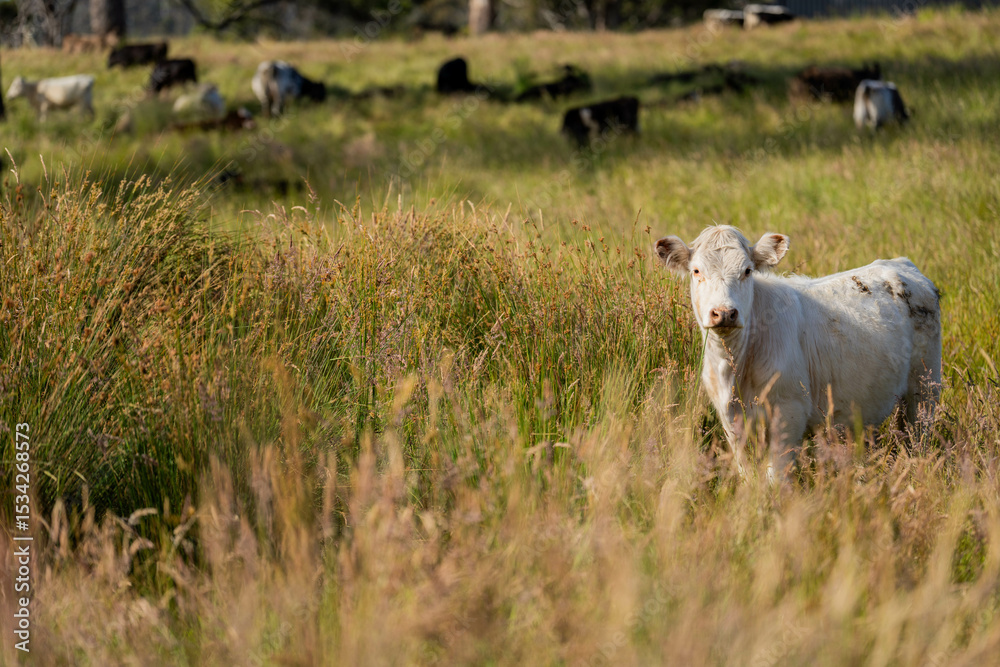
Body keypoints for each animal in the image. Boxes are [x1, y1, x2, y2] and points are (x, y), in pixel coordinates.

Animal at [655, 225, 941, 481]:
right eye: (696, 271)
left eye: (747, 271)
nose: (724, 312)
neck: (735, 368)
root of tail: (900, 264)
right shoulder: (730, 419)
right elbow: (746, 473)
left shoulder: (789, 411)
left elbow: (776, 478)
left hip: (925, 388)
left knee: (920, 435)